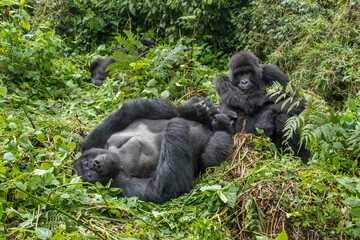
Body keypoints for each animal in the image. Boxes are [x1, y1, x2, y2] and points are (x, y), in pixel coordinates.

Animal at [73, 96, 233, 203]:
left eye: (88, 163)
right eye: (89, 174)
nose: (95, 165)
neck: (117, 157)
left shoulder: (92, 141)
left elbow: (128, 112)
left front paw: (188, 111)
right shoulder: (118, 188)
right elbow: (162, 189)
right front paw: (175, 126)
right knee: (210, 155)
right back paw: (222, 129)